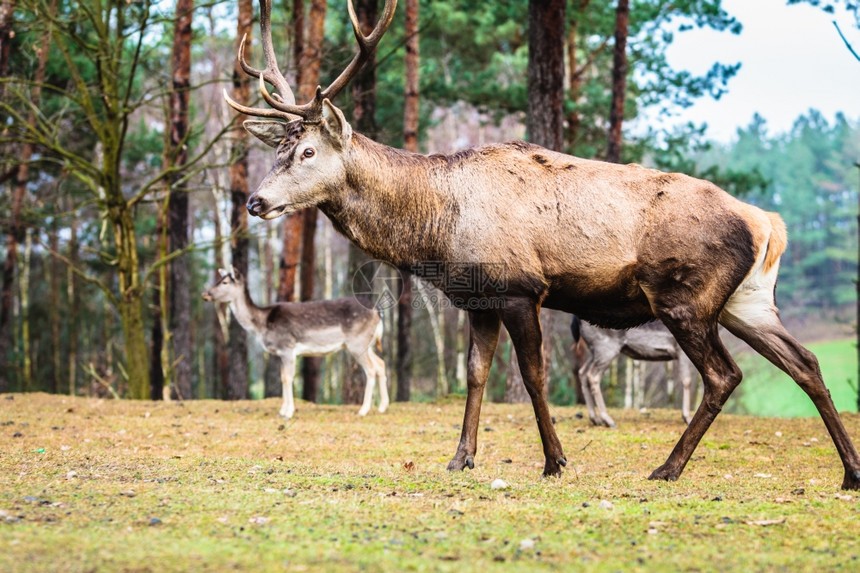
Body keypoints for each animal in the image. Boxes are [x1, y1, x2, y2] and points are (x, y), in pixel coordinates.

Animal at [203, 266, 384, 418]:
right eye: (219, 280)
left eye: (225, 282)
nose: (205, 294)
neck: (261, 325)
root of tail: (378, 312)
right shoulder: (280, 353)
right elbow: (283, 377)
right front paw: (282, 410)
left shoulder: (287, 347)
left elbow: (288, 378)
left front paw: (288, 412)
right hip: (366, 343)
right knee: (380, 363)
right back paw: (382, 407)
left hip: (357, 343)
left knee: (370, 369)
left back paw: (363, 410)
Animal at [572, 312, 700, 428]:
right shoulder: (681, 350)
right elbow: (687, 380)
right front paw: (687, 418)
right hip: (605, 347)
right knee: (592, 375)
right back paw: (608, 420)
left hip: (594, 350)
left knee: (582, 372)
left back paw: (595, 419)